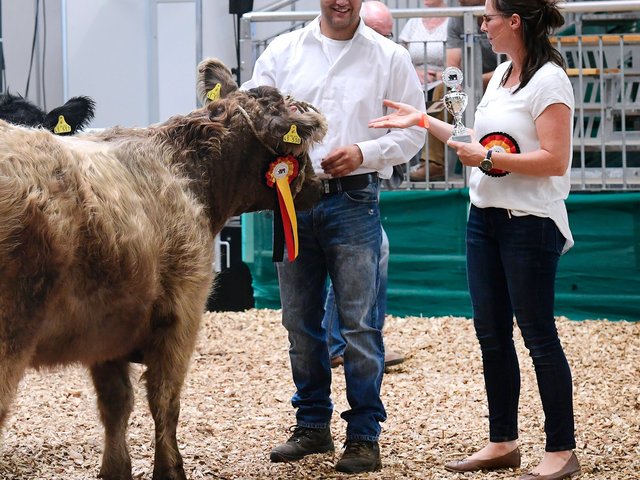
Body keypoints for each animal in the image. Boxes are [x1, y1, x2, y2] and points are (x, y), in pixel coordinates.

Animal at [0, 59, 324, 480]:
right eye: (296, 146)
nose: (320, 184)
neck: (186, 169)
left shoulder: (109, 329)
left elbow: (116, 406)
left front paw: (115, 469)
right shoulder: (182, 314)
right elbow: (165, 401)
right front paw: (170, 470)